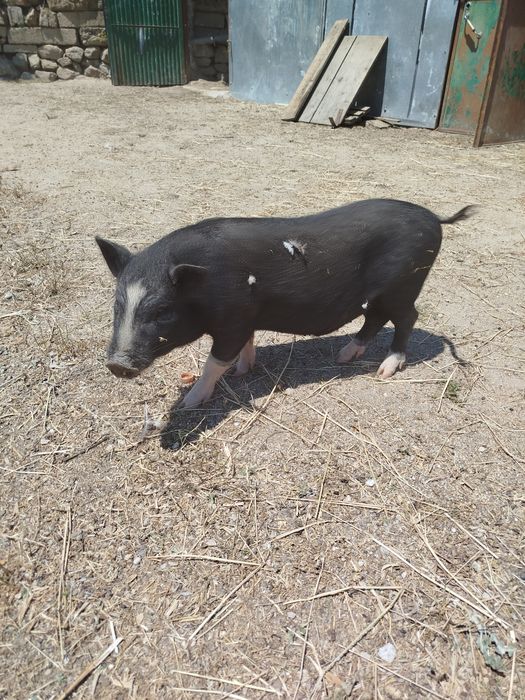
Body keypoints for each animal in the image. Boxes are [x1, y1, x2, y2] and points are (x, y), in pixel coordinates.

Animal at [96, 199, 473, 408]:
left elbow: (215, 362)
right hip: (382, 293)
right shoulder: (245, 318)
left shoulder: (232, 320)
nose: (116, 364)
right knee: (375, 319)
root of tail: (434, 217)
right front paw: (243, 371)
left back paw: (385, 369)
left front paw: (191, 402)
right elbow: (245, 346)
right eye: (116, 306)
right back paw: (345, 356)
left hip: (404, 286)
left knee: (408, 317)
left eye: (162, 312)